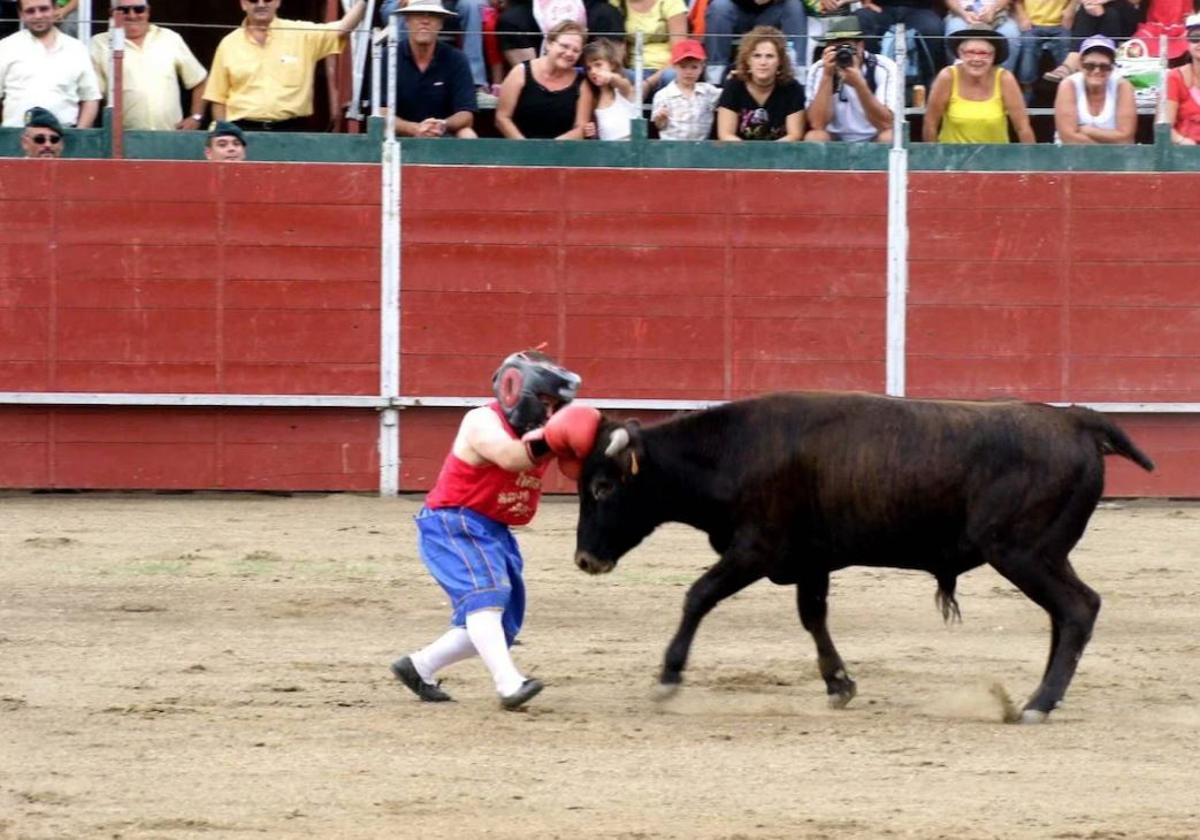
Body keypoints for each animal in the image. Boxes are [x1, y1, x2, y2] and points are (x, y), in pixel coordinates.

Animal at [568, 393, 1152, 720]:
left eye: (602, 487)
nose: (584, 560)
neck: (733, 451)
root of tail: (1076, 422)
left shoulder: (757, 548)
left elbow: (698, 595)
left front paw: (668, 679)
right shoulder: (809, 561)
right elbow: (813, 617)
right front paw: (840, 684)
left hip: (1021, 551)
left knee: (1077, 609)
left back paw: (1037, 703)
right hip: (1042, 555)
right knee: (1067, 614)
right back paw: (1043, 697)